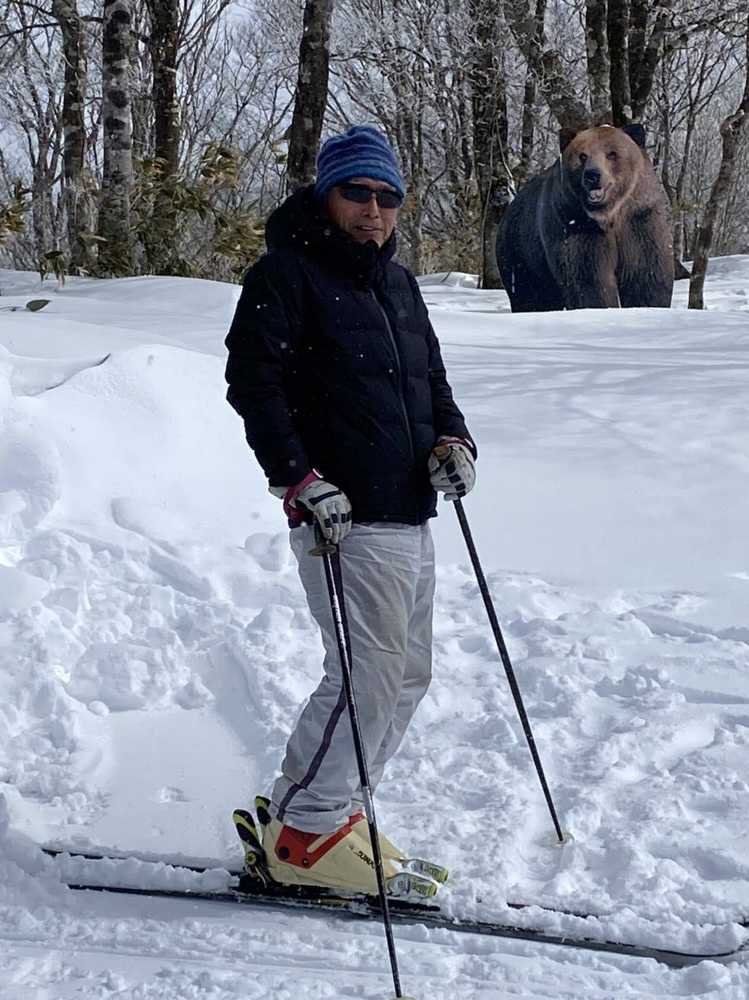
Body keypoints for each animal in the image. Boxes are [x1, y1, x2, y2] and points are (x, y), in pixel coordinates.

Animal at [496, 124, 674, 311]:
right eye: (582, 155)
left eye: (612, 154)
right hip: (520, 251)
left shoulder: (640, 220)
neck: (609, 215)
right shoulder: (576, 223)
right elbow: (588, 277)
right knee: (529, 294)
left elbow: (646, 274)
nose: (592, 175)